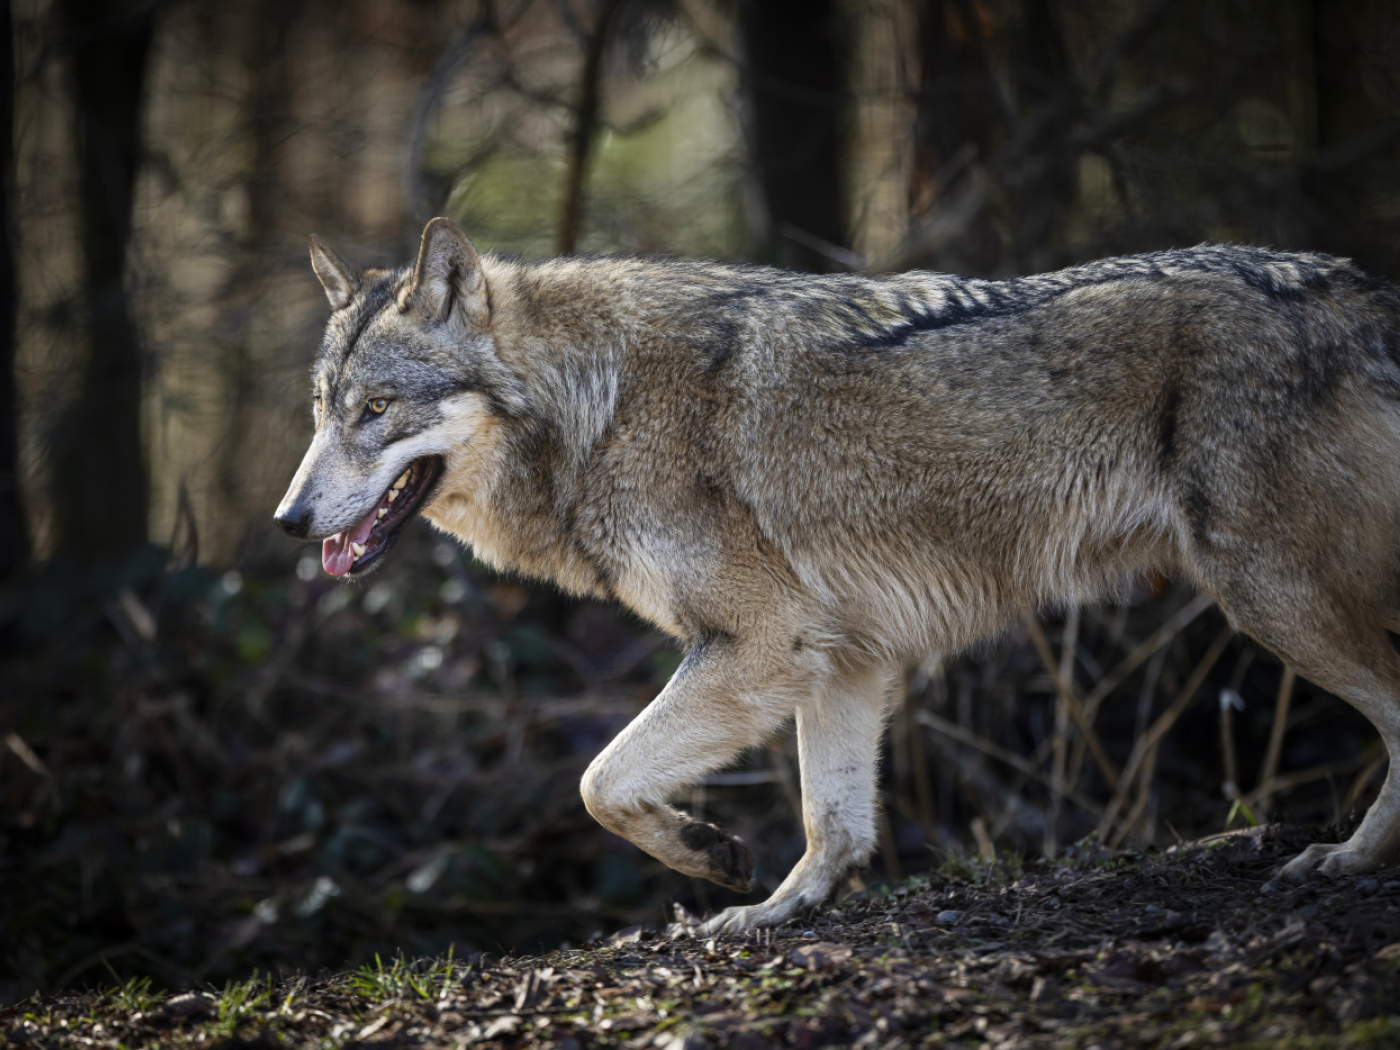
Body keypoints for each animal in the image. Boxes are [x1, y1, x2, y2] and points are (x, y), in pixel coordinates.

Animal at [276, 217, 1400, 933]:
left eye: (376, 410)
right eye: (321, 409)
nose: (287, 521)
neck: (598, 405)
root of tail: (1358, 287)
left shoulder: (759, 646)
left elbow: (599, 780)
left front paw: (708, 853)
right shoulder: (843, 658)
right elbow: (834, 821)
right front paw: (778, 908)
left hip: (1269, 595)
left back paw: (1351, 860)